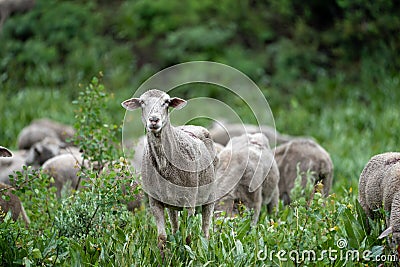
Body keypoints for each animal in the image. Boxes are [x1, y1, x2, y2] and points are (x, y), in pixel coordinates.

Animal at [121, 89, 217, 253]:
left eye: (166, 102)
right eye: (142, 102)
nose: (154, 120)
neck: (164, 164)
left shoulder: (190, 200)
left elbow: (188, 237)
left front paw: (188, 255)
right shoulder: (154, 201)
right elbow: (162, 238)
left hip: (210, 194)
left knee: (205, 230)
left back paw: (204, 249)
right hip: (171, 202)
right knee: (175, 227)